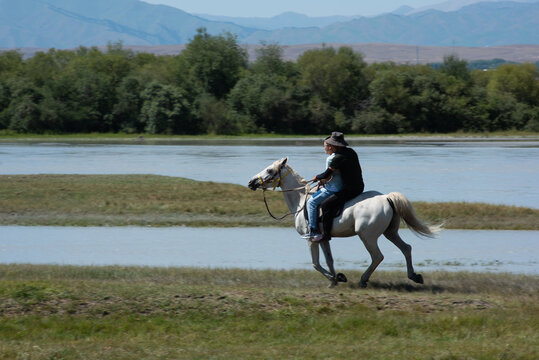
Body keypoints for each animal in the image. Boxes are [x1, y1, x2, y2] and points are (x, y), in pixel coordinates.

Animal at [249, 159, 442, 288]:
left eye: (270, 170)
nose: (251, 182)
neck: (301, 200)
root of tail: (387, 198)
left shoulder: (311, 240)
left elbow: (316, 264)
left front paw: (334, 279)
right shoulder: (323, 239)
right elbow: (329, 260)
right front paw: (336, 279)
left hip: (367, 236)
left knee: (378, 256)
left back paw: (363, 280)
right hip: (390, 232)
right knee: (406, 248)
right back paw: (414, 276)